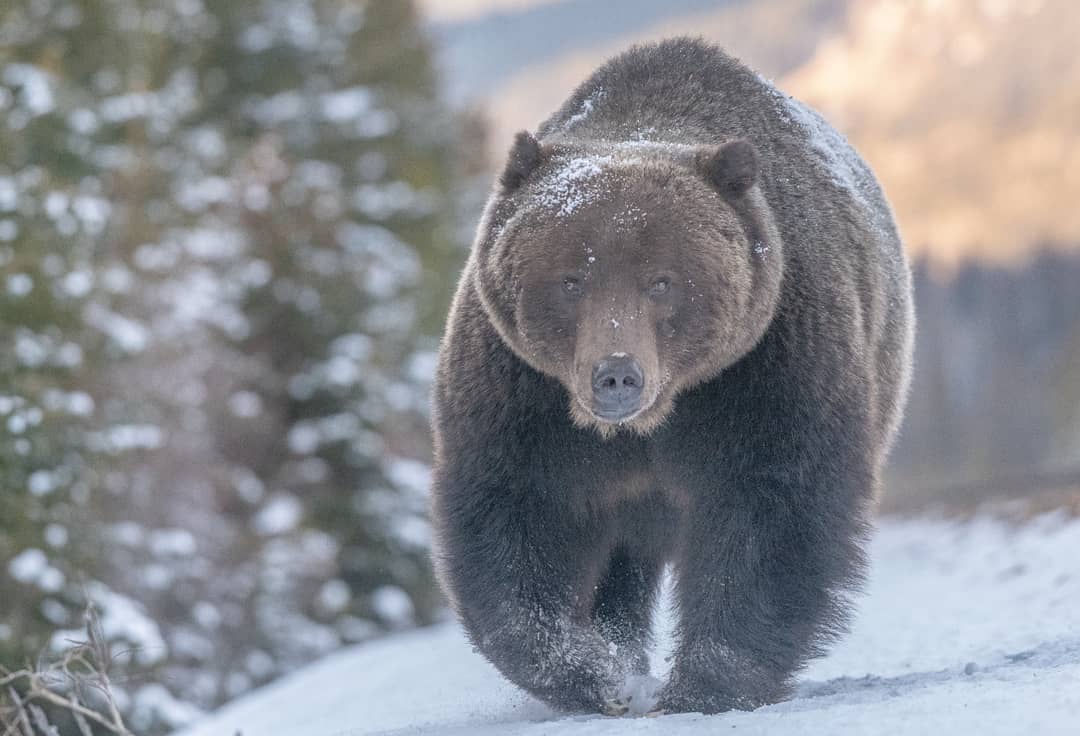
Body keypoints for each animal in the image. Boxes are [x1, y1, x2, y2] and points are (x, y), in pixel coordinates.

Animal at [427, 37, 911, 713]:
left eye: (662, 281)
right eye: (570, 280)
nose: (616, 375)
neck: (649, 424)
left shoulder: (766, 368)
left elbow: (771, 510)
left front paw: (704, 681)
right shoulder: (521, 395)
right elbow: (514, 517)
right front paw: (594, 673)